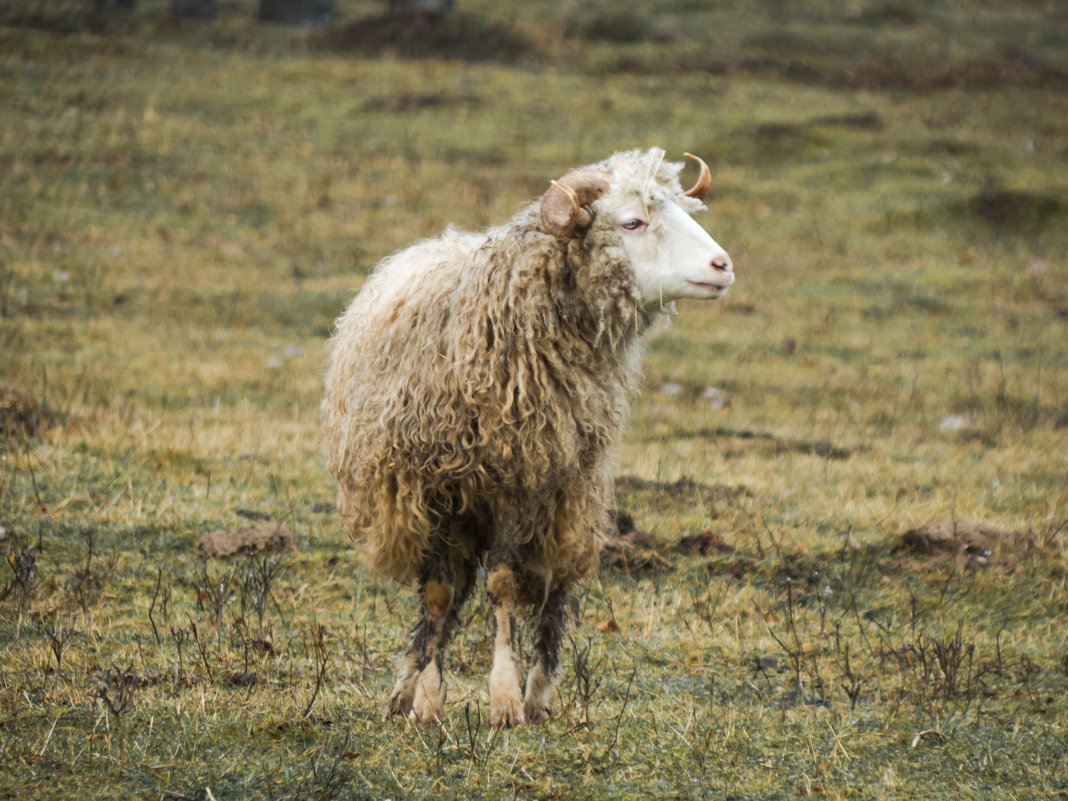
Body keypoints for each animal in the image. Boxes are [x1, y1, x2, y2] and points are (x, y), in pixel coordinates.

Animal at [318, 147, 734, 730]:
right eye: (632, 222)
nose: (723, 266)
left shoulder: (524, 487)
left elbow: (504, 586)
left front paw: (504, 697)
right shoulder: (434, 491)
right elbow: (440, 594)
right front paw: (427, 697)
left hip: (572, 498)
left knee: (556, 589)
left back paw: (538, 694)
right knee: (450, 594)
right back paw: (406, 689)